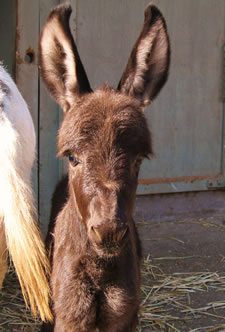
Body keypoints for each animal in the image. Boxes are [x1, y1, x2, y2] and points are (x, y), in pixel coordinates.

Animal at [39, 3, 170, 332]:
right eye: (72, 157)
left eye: (138, 159)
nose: (109, 231)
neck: (99, 271)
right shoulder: (71, 313)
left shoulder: (124, 313)